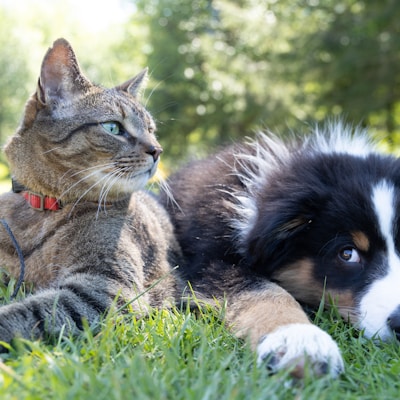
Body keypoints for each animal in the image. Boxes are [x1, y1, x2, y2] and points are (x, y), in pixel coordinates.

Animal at [0, 38, 183, 346]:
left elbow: (29, 312)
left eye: (151, 129)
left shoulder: (105, 287)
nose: (157, 150)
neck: (42, 210)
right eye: (113, 127)